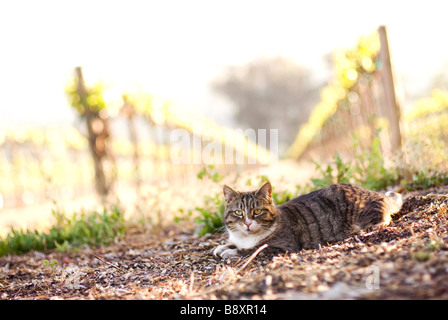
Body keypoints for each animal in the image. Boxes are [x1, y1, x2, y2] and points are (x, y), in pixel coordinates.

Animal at [214, 181, 402, 258]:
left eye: (257, 211)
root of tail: (375, 193)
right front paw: (223, 246)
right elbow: (232, 244)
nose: (247, 223)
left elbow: (253, 249)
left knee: (385, 217)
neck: (246, 238)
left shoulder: (283, 246)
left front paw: (230, 252)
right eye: (238, 212)